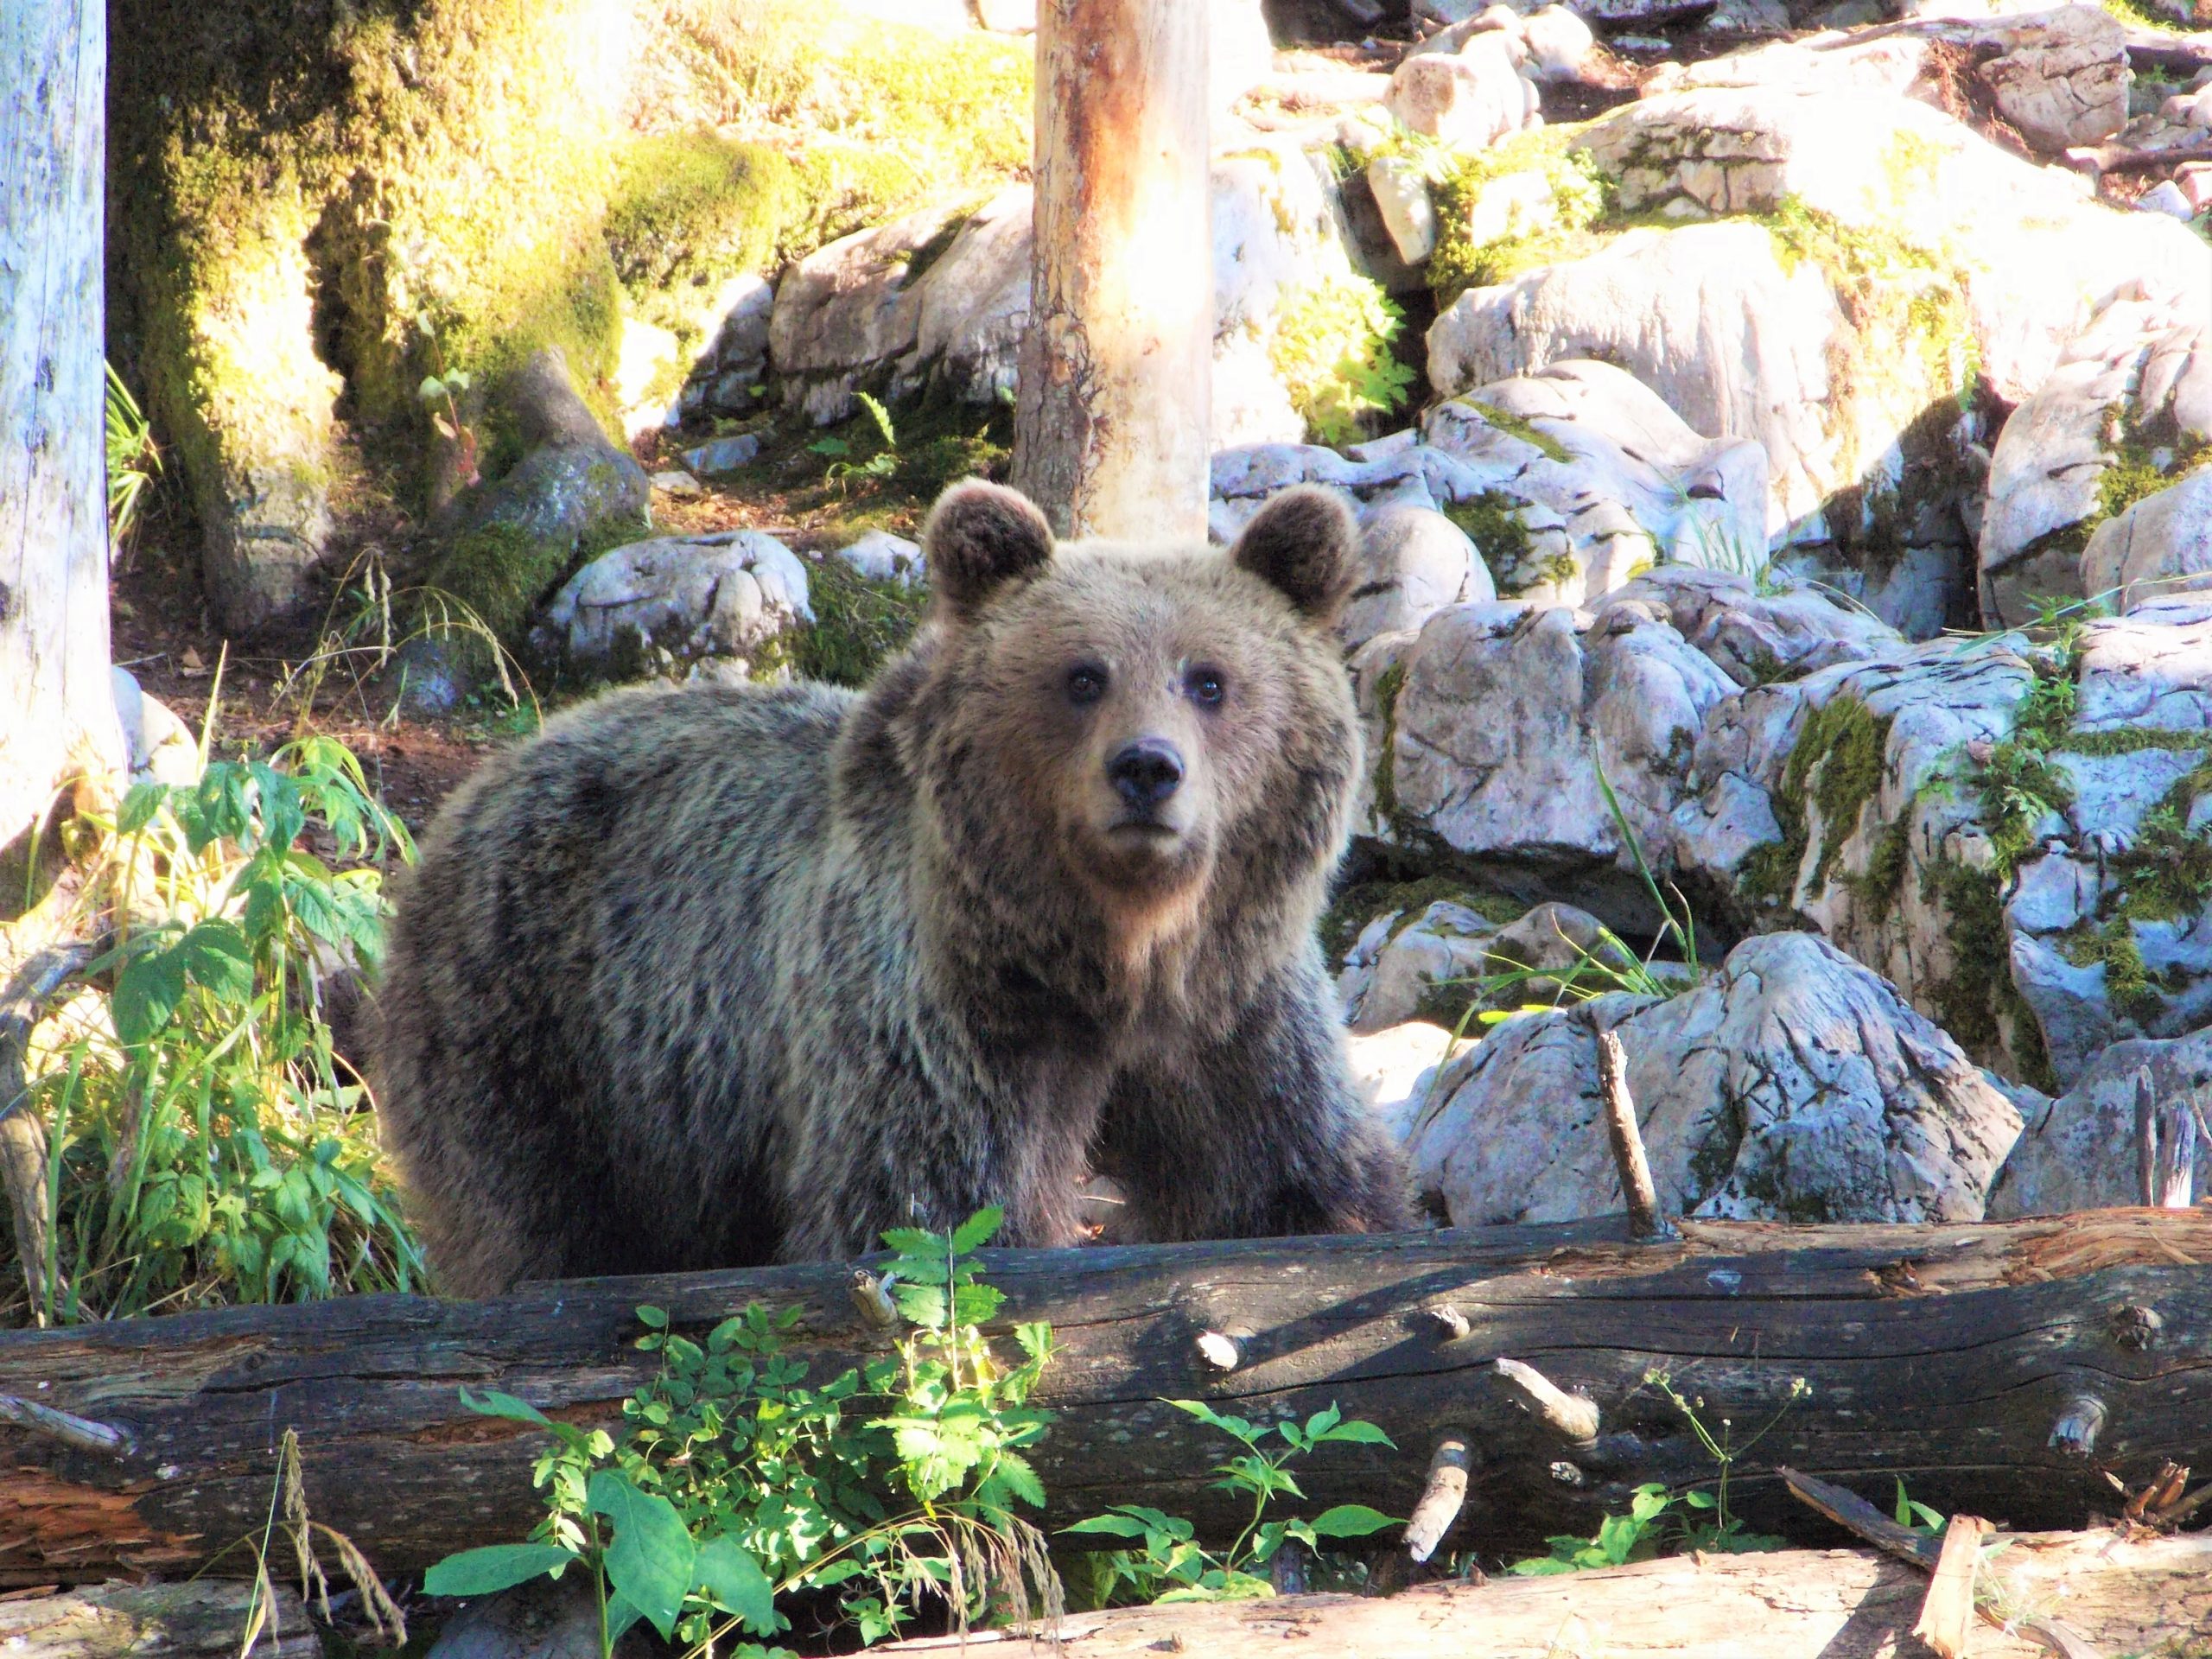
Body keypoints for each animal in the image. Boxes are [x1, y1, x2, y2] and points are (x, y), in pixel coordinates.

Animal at [372, 480, 1407, 1300]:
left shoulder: (1233, 1007)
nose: (1146, 770)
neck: (1111, 953)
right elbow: (928, 1211)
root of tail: (483, 783)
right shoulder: (939, 1013)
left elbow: (1286, 1177)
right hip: (544, 1029)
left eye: (1209, 679)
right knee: (539, 1219)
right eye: (1082, 676)